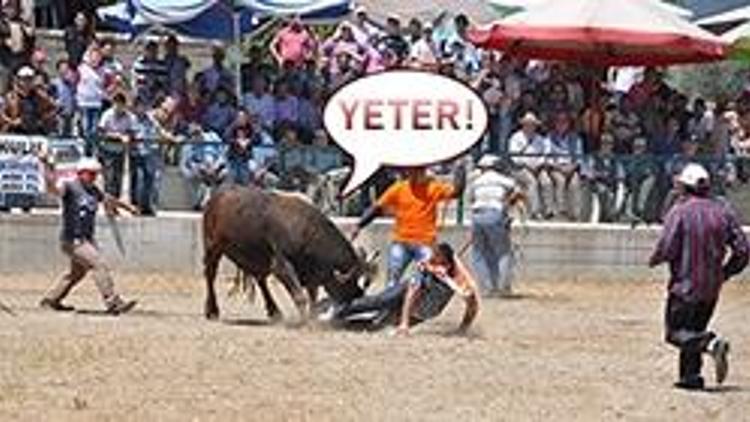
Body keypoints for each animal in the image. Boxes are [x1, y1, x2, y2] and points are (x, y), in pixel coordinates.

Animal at [203, 186, 378, 322]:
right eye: (350, 281)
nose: (358, 293)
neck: (306, 231)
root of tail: (216, 196)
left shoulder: (312, 272)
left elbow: (313, 297)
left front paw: (312, 317)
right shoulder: (282, 266)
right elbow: (300, 296)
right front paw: (306, 321)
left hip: (256, 259)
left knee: (261, 280)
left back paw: (274, 311)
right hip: (212, 247)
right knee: (210, 275)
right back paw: (212, 310)